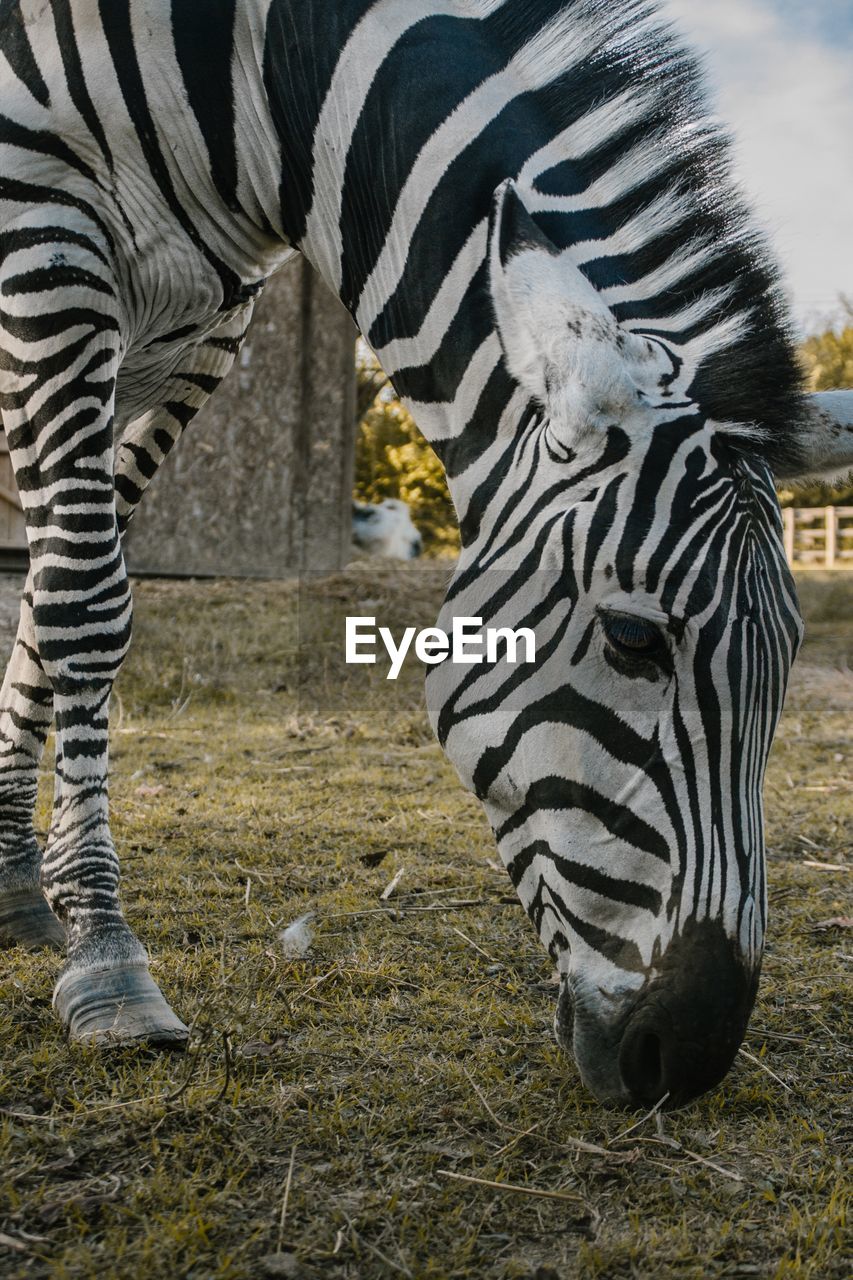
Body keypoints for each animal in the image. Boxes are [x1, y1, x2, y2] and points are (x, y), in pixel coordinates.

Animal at [1, 0, 850, 1105]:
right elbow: (84, 599)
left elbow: (53, 583)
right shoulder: (47, 221)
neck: (255, 83)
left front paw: (35, 886)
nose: (690, 1057)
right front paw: (105, 951)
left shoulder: (211, 322)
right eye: (632, 639)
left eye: (790, 655)